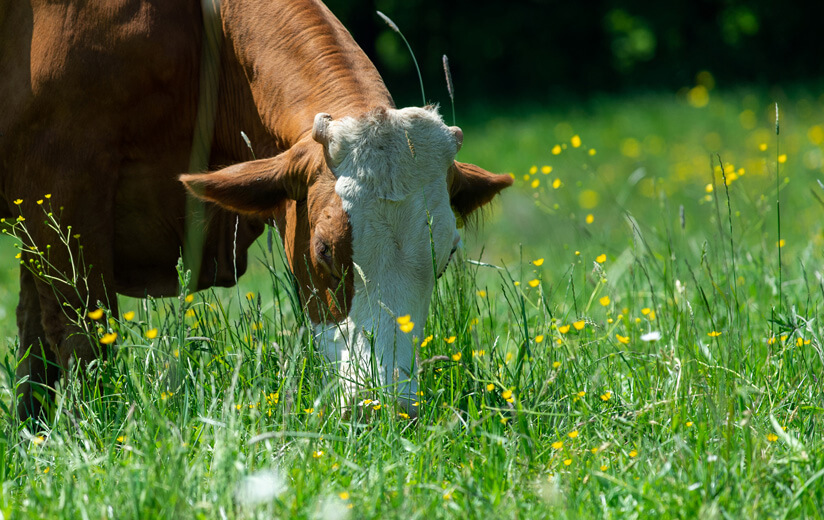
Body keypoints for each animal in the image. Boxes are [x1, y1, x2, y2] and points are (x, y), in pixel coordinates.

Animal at [3, 0, 512, 418]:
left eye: (445, 257)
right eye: (325, 252)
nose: (384, 407)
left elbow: (35, 334)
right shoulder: (60, 185)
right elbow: (77, 335)